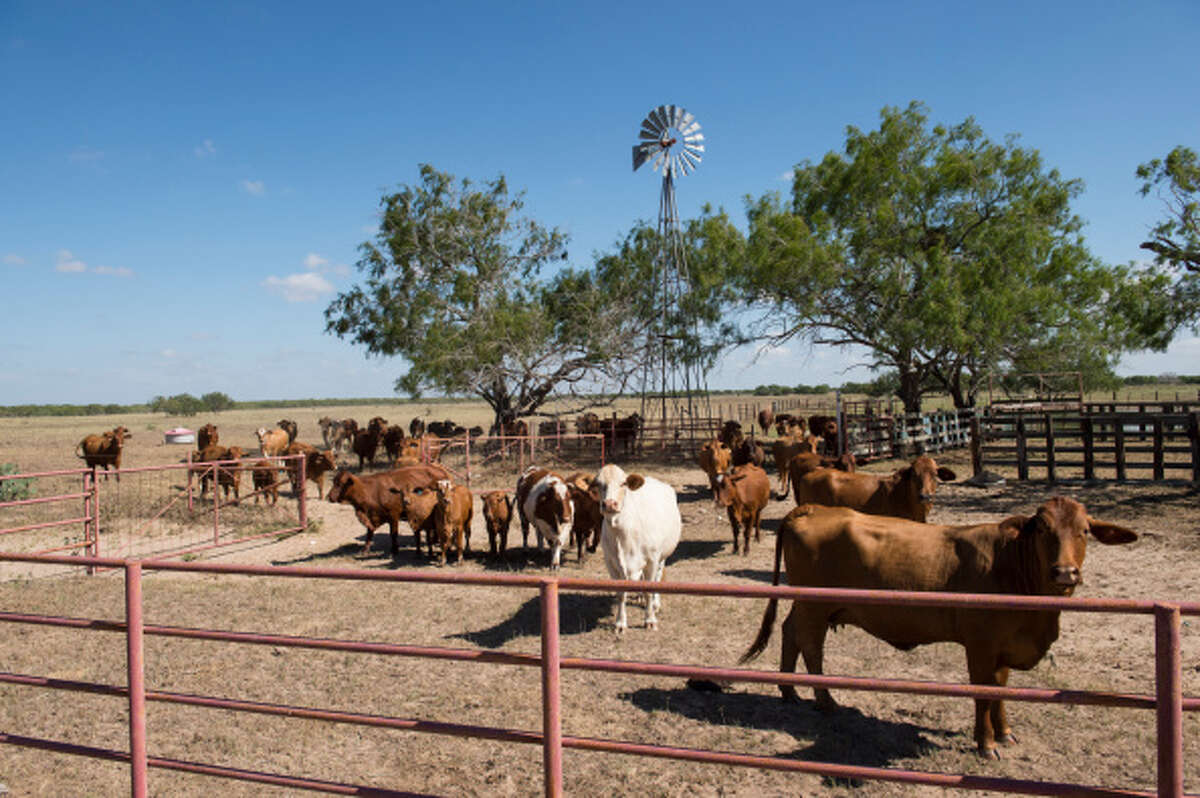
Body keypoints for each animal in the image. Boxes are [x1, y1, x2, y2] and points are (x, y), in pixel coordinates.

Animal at [591, 463, 682, 632]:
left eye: (623, 483)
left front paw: (650, 620)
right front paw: (620, 623)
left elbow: (649, 590)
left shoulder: (652, 560)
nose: (609, 504)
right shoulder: (611, 563)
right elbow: (621, 594)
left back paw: (656, 604)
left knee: (658, 577)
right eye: (599, 484)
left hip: (662, 557)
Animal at [739, 499, 1139, 758]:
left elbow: (1001, 690)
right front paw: (986, 743)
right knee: (810, 645)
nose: (1065, 573)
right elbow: (983, 694)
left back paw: (789, 691)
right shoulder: (979, 646)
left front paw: (1005, 733)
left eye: (1085, 531)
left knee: (790, 632)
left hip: (807, 606)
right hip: (816, 607)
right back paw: (825, 701)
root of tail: (811, 509)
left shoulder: (1002, 649)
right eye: (1042, 529)